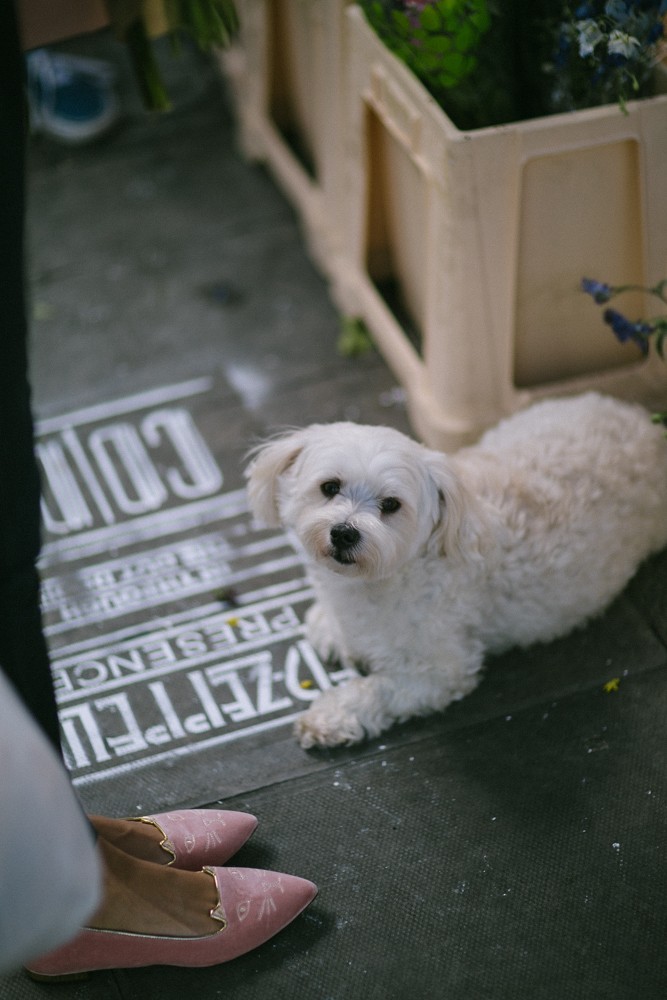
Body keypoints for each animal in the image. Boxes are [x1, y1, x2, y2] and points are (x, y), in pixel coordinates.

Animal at [245, 394, 667, 748]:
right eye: (330, 487)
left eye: (391, 505)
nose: (344, 532)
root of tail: (646, 423)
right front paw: (331, 626)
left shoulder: (440, 671)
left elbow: (378, 690)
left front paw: (332, 715)